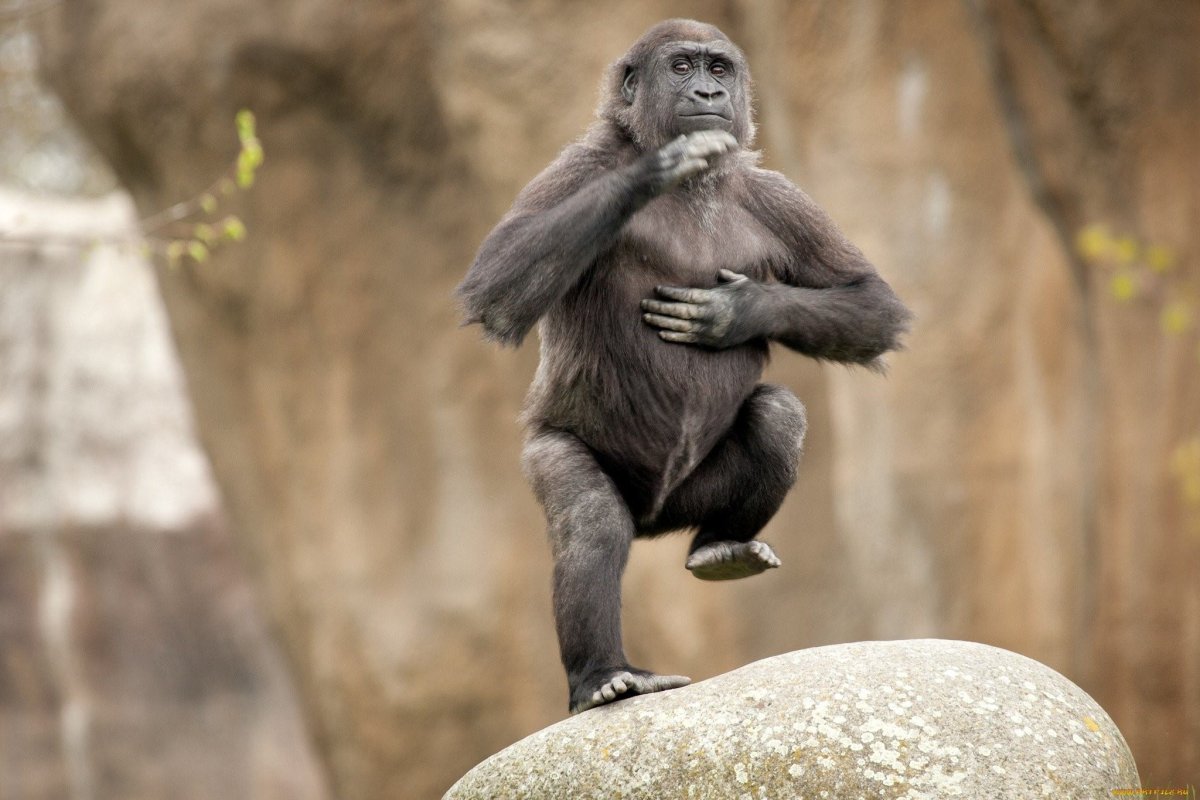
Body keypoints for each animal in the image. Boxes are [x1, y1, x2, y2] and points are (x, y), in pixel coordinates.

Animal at [456, 19, 911, 714]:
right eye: (680, 68)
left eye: (718, 69)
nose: (706, 92)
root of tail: (653, 522)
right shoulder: (580, 166)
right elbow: (498, 284)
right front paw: (657, 167)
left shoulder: (774, 193)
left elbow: (871, 303)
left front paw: (741, 310)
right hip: (569, 457)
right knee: (593, 520)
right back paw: (602, 676)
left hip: (687, 502)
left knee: (779, 417)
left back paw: (720, 546)